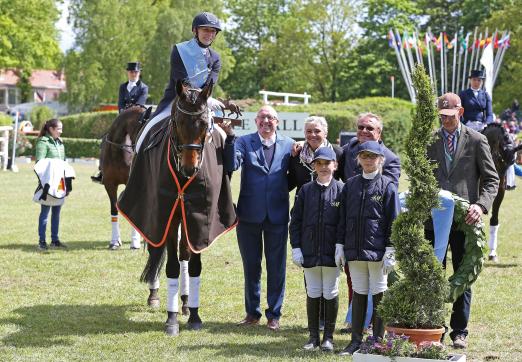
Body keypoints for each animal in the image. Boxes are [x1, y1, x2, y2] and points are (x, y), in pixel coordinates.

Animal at [117, 80, 236, 336]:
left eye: (205, 124)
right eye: (178, 123)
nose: (189, 168)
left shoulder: (200, 221)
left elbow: (194, 265)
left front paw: (195, 315)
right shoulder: (167, 217)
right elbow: (171, 265)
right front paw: (171, 320)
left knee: (184, 257)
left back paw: (185, 301)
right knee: (158, 251)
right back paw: (157, 295)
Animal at [480, 123, 520, 262]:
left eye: (512, 163)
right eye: (501, 158)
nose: (500, 179)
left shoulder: (498, 194)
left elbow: (494, 219)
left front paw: (492, 253)